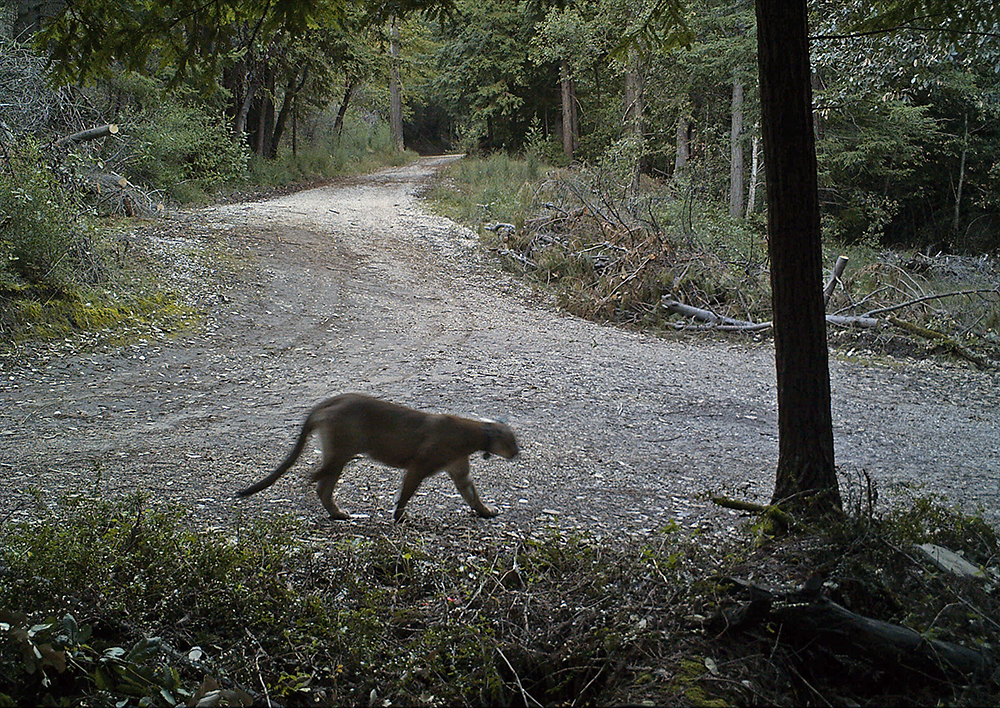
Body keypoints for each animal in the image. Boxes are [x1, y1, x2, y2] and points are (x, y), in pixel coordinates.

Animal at [234, 396, 516, 524]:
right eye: (512, 442)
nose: (518, 453)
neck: (470, 435)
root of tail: (332, 400)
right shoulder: (420, 465)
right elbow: (406, 492)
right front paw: (400, 516)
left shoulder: (459, 470)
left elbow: (472, 495)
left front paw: (486, 511)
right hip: (341, 452)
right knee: (314, 478)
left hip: (339, 454)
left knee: (322, 484)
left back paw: (338, 513)